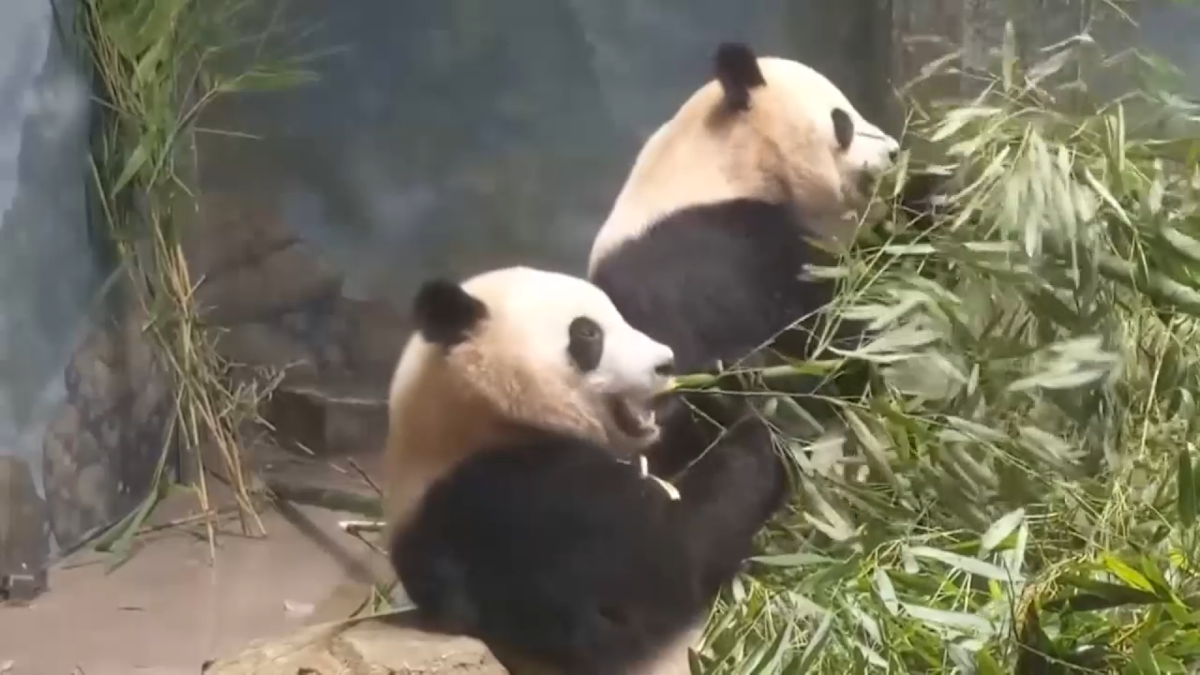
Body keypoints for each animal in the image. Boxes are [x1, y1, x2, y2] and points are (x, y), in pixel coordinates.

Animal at [384, 265, 788, 675]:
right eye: (588, 333)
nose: (666, 363)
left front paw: (730, 384)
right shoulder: (505, 501)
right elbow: (661, 563)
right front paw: (760, 434)